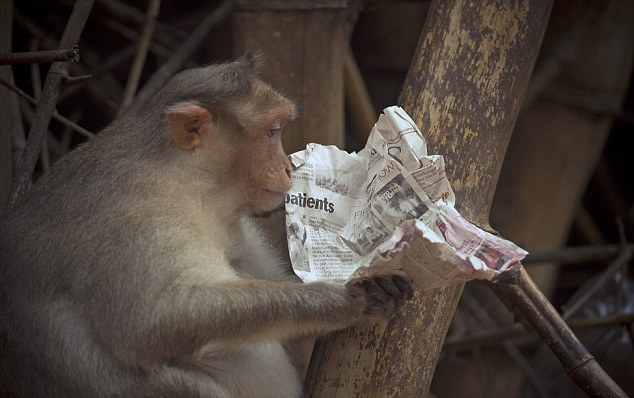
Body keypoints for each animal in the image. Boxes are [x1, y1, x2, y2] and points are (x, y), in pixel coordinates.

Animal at [0, 53, 410, 398]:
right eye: (273, 131)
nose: (288, 168)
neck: (191, 186)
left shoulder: (235, 222)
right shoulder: (136, 219)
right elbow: (150, 322)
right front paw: (339, 300)